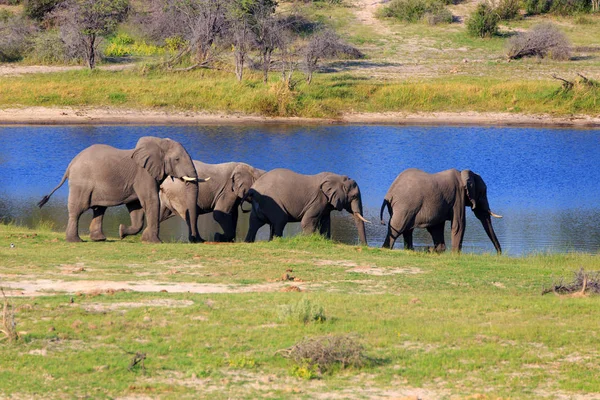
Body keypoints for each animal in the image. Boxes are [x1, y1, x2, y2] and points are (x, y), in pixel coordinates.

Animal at [37, 137, 202, 244]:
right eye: (177, 160)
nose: (195, 240)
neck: (158, 143)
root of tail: (70, 164)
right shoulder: (144, 175)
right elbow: (151, 201)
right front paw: (156, 242)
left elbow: (136, 207)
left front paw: (122, 232)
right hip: (81, 183)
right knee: (78, 209)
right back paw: (75, 241)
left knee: (99, 209)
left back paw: (99, 239)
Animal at [118, 161, 264, 242]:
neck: (251, 168)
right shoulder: (228, 190)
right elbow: (220, 214)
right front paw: (219, 237)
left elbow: (233, 215)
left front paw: (225, 238)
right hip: (180, 193)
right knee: (187, 215)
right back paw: (198, 240)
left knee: (162, 214)